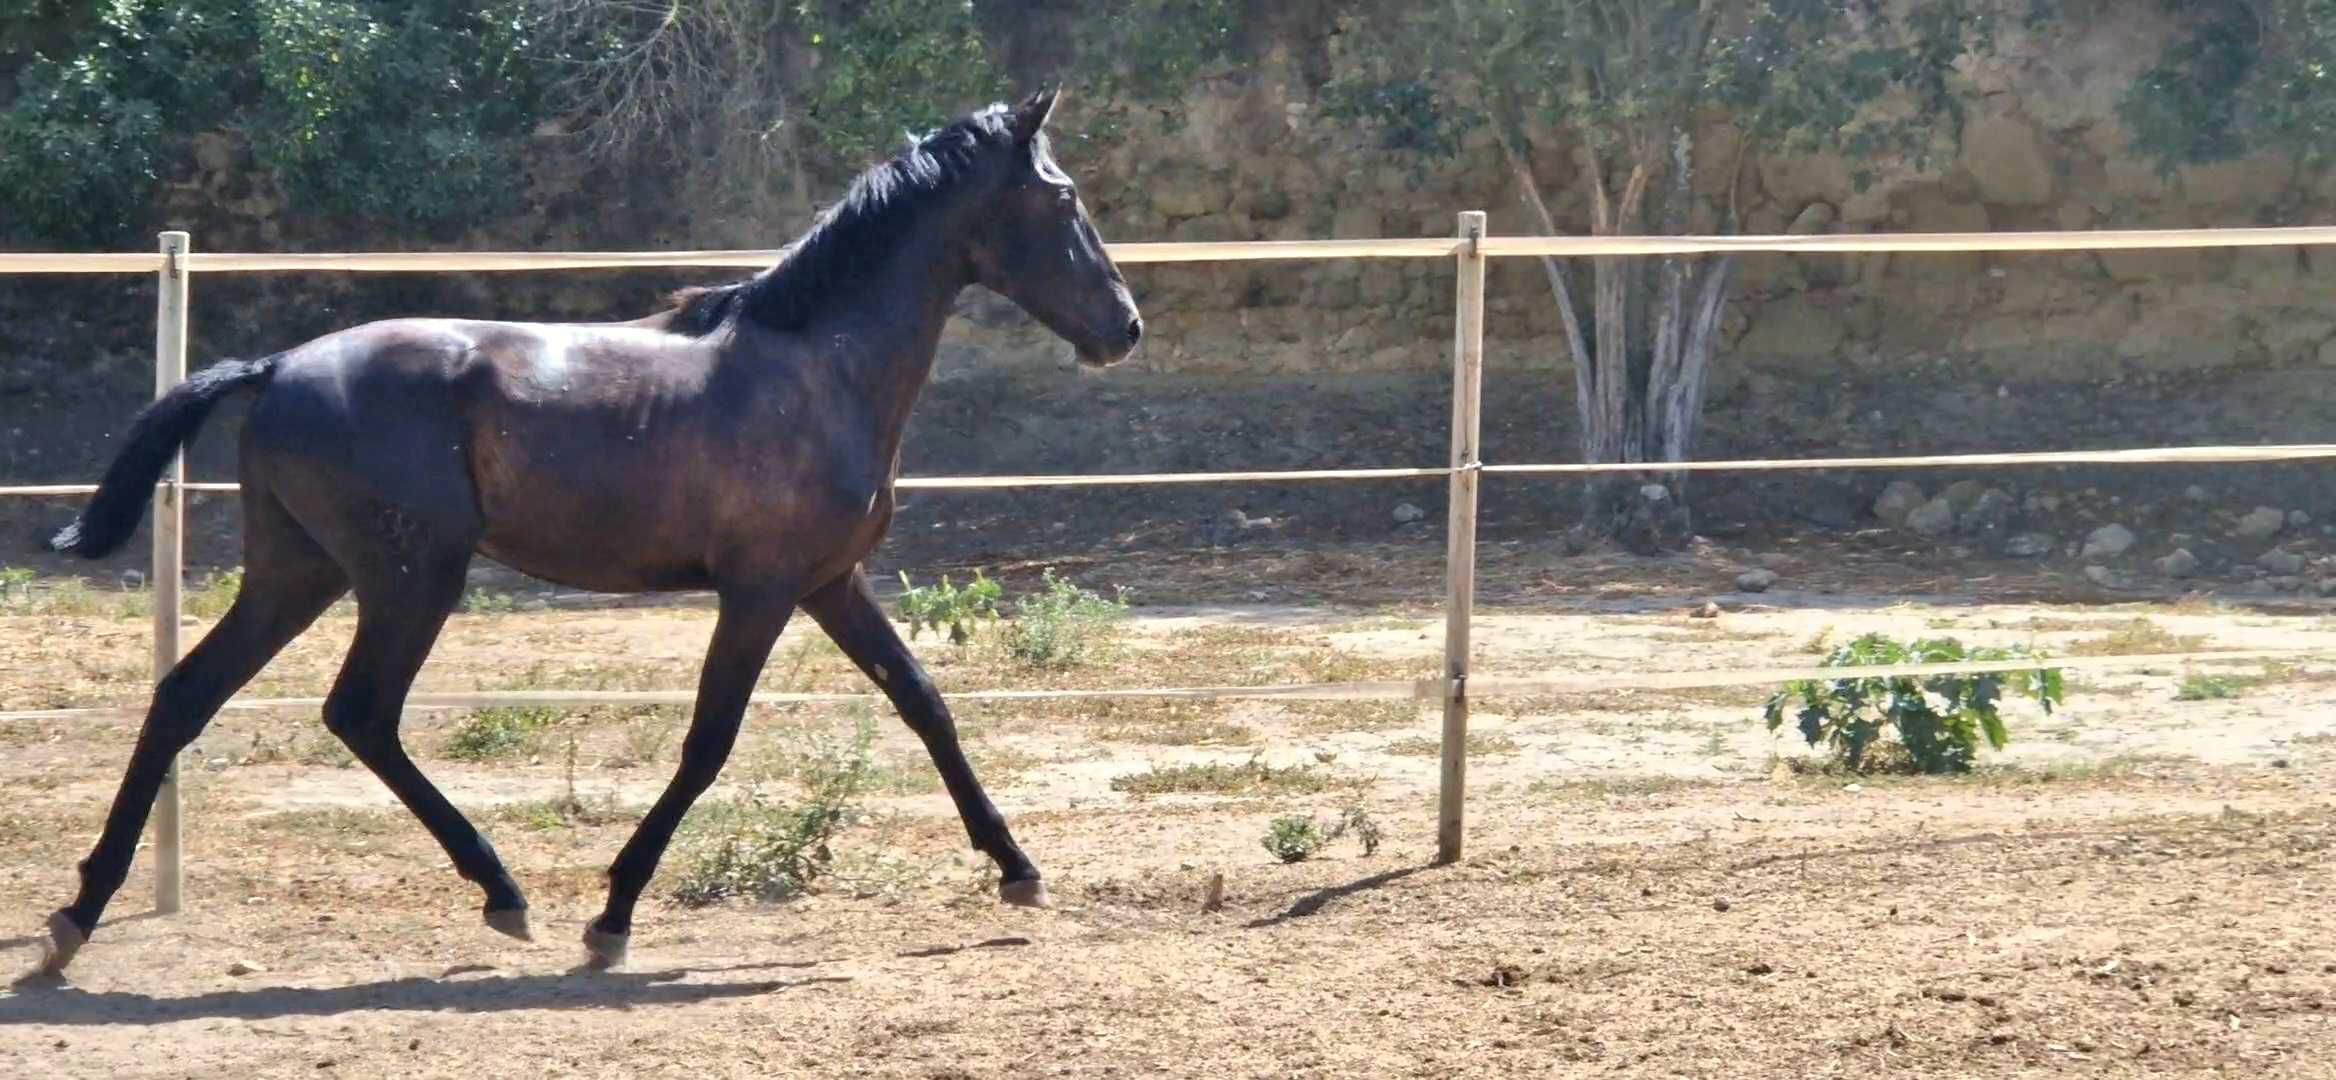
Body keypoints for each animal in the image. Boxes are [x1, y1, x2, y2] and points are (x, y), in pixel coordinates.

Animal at [31, 88, 1135, 972]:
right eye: (1063, 199)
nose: (1123, 327)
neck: (819, 369)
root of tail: (275, 367)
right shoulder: (761, 591)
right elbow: (709, 742)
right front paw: (611, 918)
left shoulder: (831, 584)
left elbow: (925, 704)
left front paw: (1018, 869)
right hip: (410, 576)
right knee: (360, 713)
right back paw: (503, 893)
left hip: (296, 574)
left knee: (188, 695)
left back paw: (79, 913)